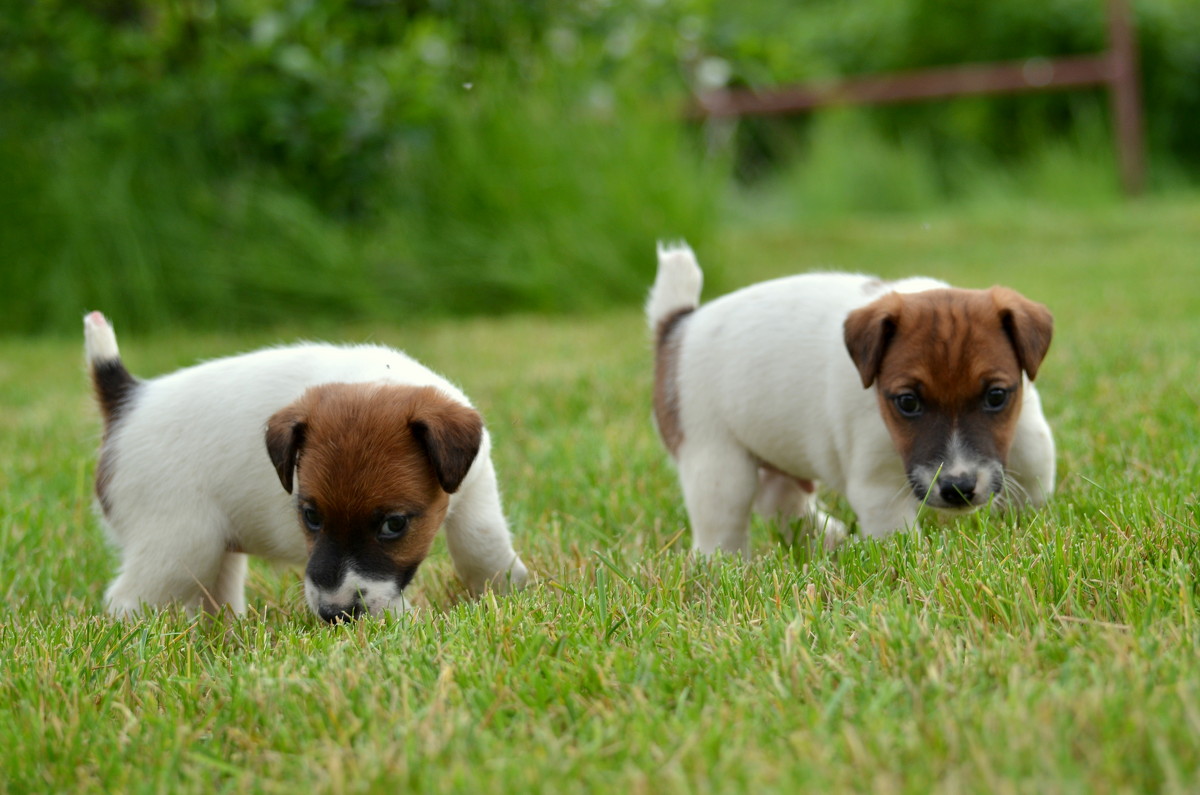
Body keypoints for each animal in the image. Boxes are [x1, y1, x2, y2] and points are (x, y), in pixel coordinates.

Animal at [84, 312, 525, 624]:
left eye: (394, 524)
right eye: (311, 516)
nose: (335, 615)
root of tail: (127, 401)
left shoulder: (476, 486)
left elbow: (481, 543)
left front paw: (510, 591)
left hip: (213, 553)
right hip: (180, 546)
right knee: (126, 600)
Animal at [652, 242, 1056, 554]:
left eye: (996, 396)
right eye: (908, 403)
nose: (958, 488)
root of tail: (677, 326)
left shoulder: (1028, 434)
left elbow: (1032, 476)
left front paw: (1029, 531)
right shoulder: (878, 487)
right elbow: (897, 537)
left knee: (779, 499)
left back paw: (828, 539)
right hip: (717, 465)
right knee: (719, 532)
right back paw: (728, 569)